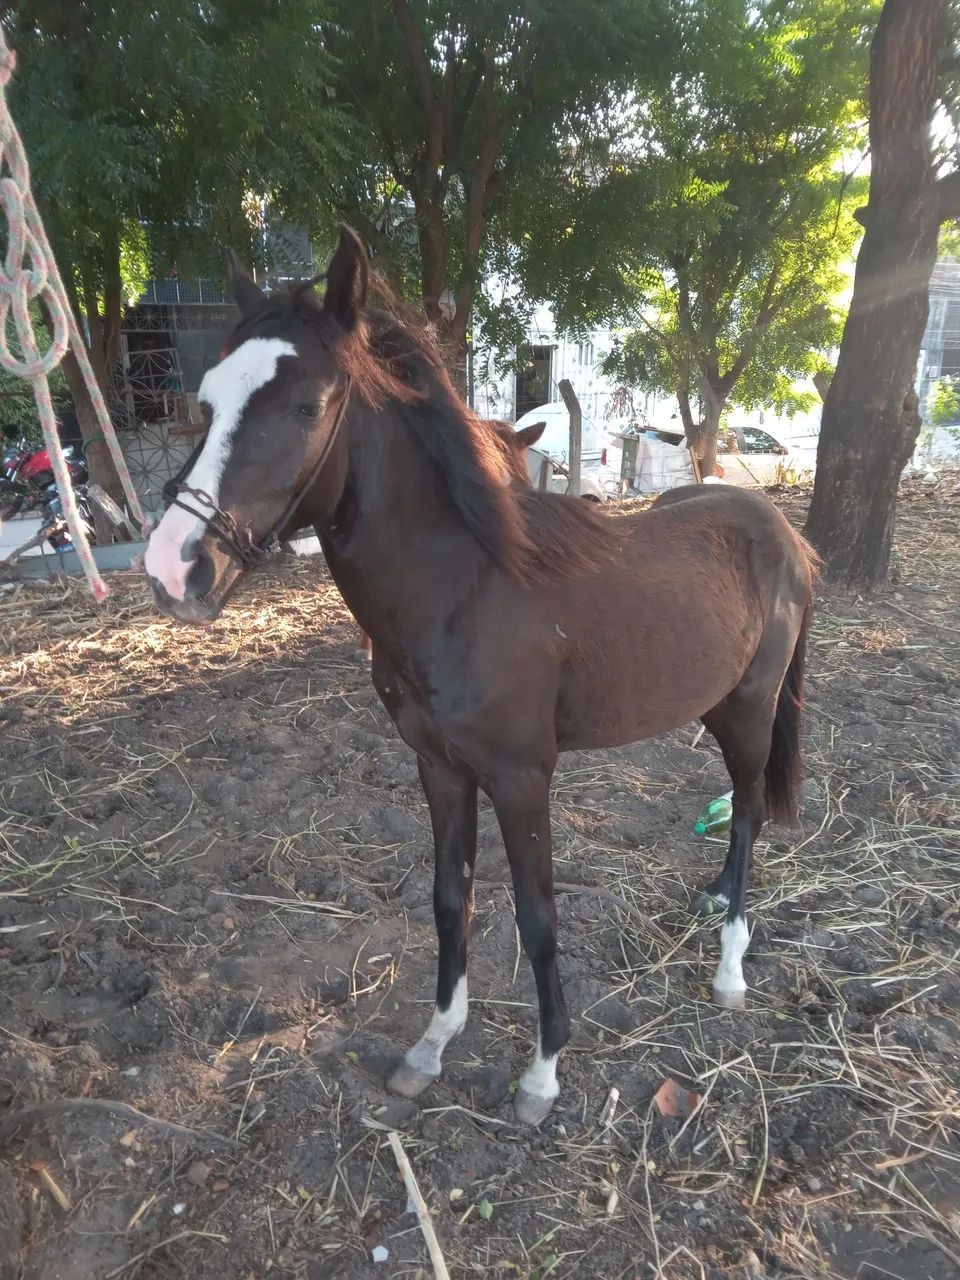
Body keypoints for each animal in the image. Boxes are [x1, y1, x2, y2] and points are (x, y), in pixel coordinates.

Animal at [144, 227, 817, 1126]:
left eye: (306, 407)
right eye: (209, 401)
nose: (174, 569)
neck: (467, 589)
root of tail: (777, 526)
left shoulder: (522, 777)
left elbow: (537, 916)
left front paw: (543, 1071)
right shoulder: (439, 768)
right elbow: (449, 897)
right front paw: (432, 1044)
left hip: (750, 709)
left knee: (745, 810)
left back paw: (731, 966)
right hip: (711, 706)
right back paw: (712, 900)